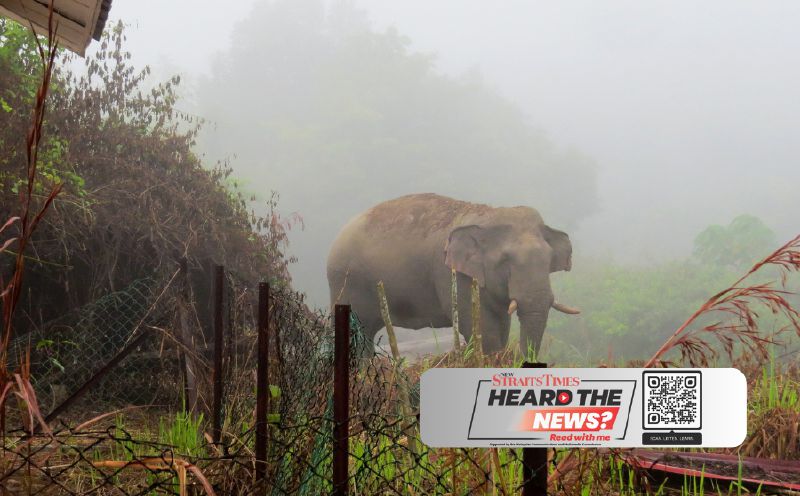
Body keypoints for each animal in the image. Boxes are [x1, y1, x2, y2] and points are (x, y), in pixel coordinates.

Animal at [326, 193, 579, 356]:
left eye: (549, 260)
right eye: (505, 260)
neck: (487, 215)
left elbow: (502, 325)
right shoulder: (452, 275)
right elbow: (483, 328)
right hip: (347, 283)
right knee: (356, 333)